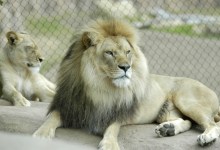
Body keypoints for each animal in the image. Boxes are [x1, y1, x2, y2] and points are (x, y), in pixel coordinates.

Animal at [33, 19, 220, 149]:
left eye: (128, 52)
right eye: (110, 53)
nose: (126, 67)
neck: (96, 86)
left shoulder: (117, 112)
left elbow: (112, 127)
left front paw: (109, 144)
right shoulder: (68, 106)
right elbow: (52, 117)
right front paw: (41, 134)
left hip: (187, 100)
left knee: (212, 124)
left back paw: (206, 137)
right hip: (166, 112)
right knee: (188, 121)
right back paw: (168, 129)